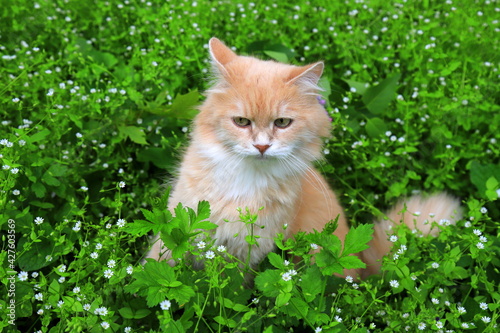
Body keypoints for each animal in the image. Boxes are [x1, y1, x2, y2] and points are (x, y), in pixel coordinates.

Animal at [145, 37, 460, 278]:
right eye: (242, 122)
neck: (247, 179)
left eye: (282, 123)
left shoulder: (248, 251)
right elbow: (156, 265)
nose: (262, 147)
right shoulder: (176, 231)